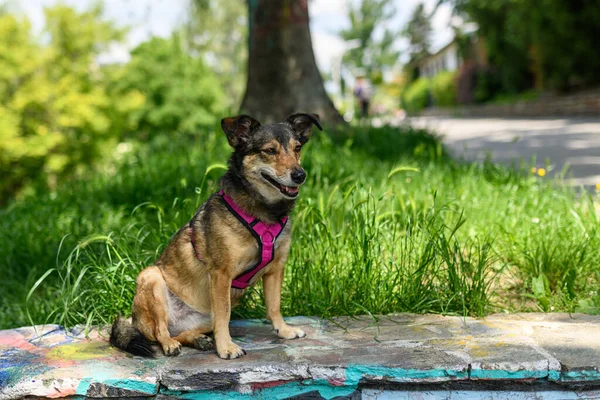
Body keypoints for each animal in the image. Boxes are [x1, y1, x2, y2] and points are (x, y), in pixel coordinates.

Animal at [109, 111, 322, 360]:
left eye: (297, 148)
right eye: (270, 150)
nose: (300, 175)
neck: (264, 212)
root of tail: (134, 321)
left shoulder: (276, 269)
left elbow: (274, 306)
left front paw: (284, 330)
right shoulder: (221, 274)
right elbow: (225, 316)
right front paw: (226, 347)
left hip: (203, 316)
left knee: (182, 332)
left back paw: (198, 340)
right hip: (151, 278)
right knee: (160, 331)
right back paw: (170, 344)